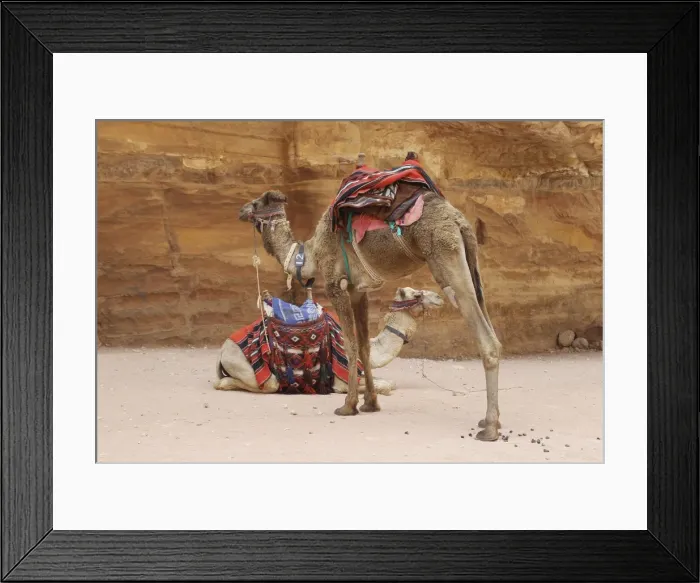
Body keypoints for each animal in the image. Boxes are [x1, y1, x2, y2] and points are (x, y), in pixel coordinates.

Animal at [215, 286, 444, 395]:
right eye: (416, 295)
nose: (440, 298)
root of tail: (223, 350)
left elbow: (390, 383)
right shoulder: (343, 377)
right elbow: (385, 386)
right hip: (246, 365)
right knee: (261, 383)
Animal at [239, 152, 503, 441]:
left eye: (256, 202)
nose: (241, 210)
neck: (311, 253)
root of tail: (458, 221)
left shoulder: (335, 285)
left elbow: (350, 344)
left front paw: (348, 405)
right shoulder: (358, 291)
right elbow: (364, 345)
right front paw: (370, 403)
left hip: (445, 255)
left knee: (486, 339)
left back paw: (489, 427)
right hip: (470, 260)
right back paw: (490, 420)